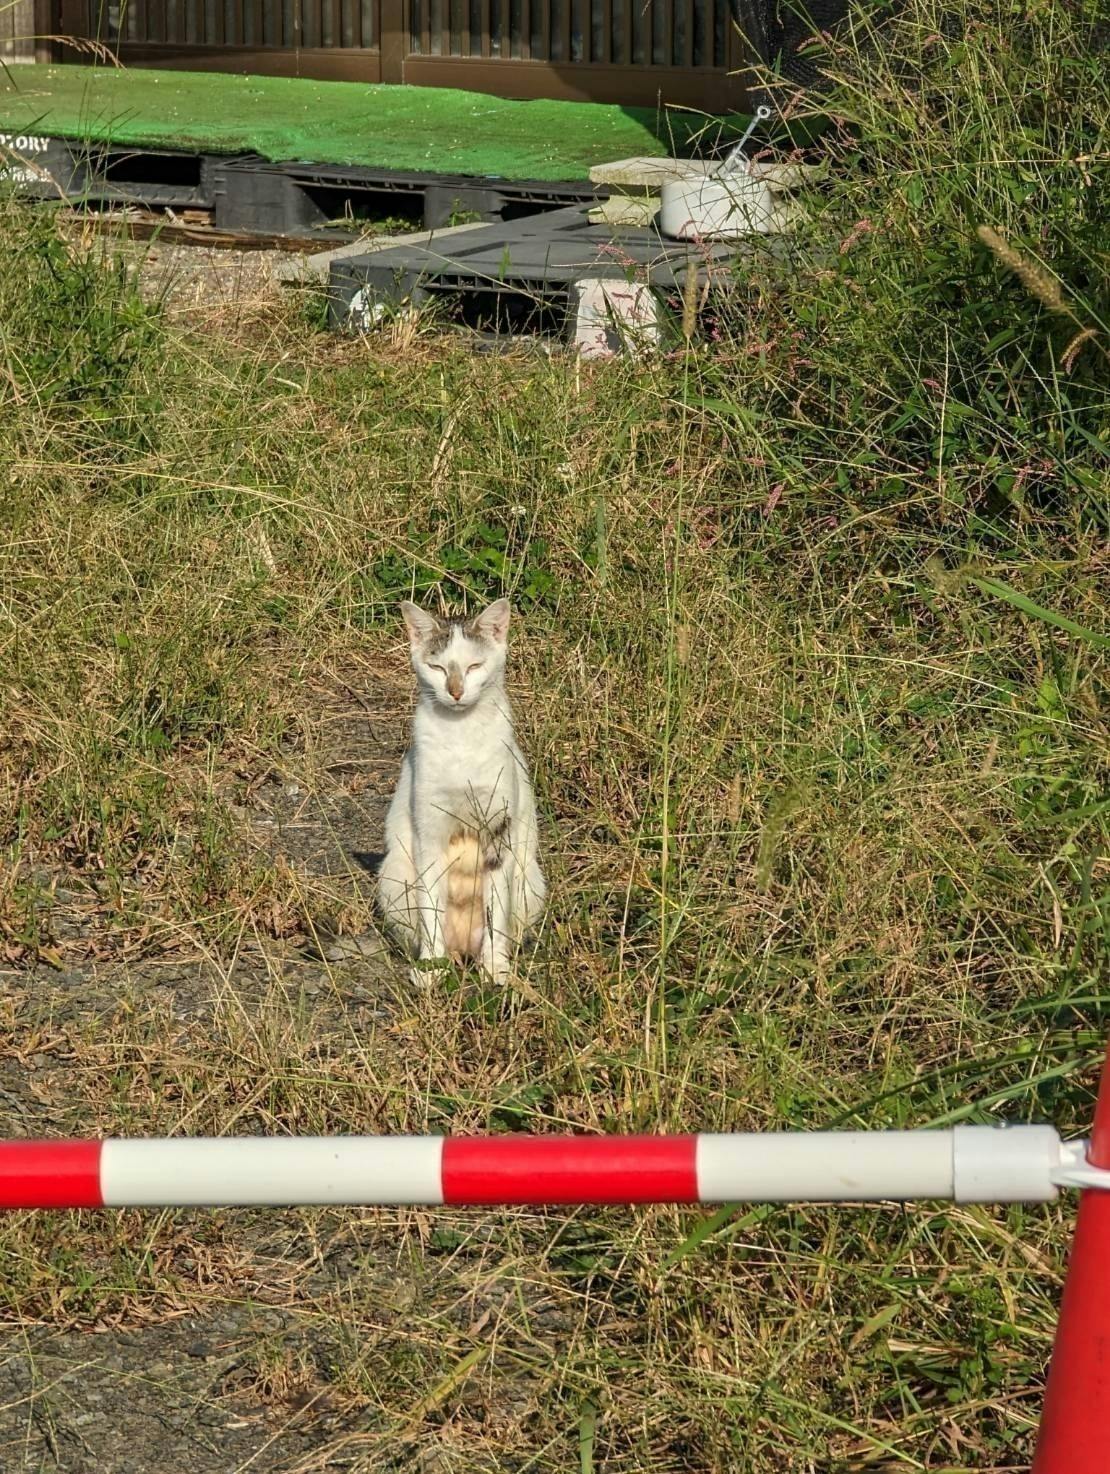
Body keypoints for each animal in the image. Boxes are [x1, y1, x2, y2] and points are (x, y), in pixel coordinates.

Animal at [377, 592, 545, 984]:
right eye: (438, 668)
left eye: (474, 666)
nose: (455, 691)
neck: (461, 735)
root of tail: (464, 947)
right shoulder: (429, 835)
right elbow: (431, 910)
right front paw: (430, 967)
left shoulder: (499, 831)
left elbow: (494, 914)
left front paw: (495, 968)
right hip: (394, 876)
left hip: (529, 879)